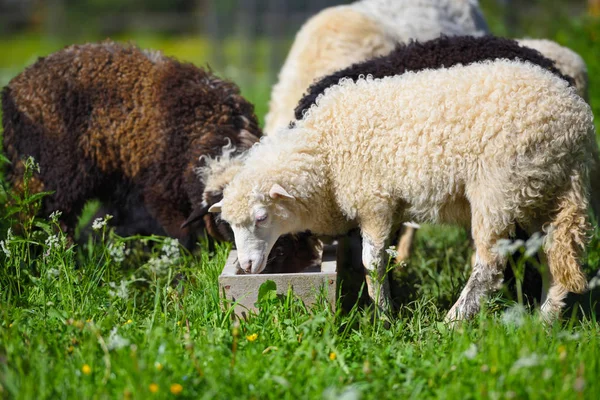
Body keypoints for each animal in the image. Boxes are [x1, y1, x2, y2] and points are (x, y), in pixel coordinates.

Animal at [212, 58, 596, 322]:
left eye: (261, 217)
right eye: (230, 225)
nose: (246, 265)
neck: (326, 152)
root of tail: (578, 125)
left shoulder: (374, 201)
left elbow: (372, 261)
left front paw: (383, 314)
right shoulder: (388, 205)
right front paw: (385, 305)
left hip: (499, 188)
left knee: (491, 265)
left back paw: (454, 321)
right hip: (538, 191)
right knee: (552, 255)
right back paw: (545, 319)